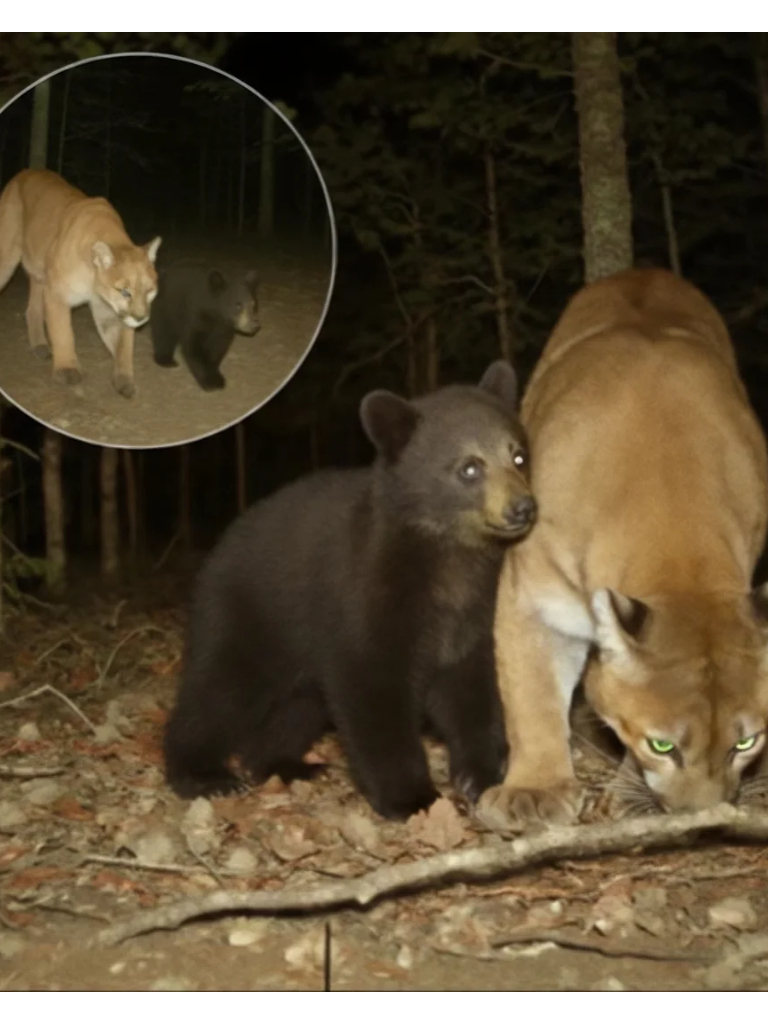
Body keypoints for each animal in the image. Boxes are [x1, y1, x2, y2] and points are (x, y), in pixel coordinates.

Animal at [0, 169, 161, 398]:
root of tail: (25, 171)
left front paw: (124, 379)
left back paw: (39, 345)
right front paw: (67, 369)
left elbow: (123, 344)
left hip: (41, 268)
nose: (141, 318)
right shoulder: (56, 293)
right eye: (124, 292)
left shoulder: (106, 308)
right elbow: (63, 332)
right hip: (7, 257)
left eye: (150, 291)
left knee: (33, 307)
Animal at [150, 258, 260, 391]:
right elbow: (192, 345)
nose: (254, 326)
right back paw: (166, 360)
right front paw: (209, 381)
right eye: (238, 304)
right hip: (166, 307)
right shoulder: (195, 315)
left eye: (253, 304)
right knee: (163, 332)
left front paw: (217, 377)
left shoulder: (223, 328)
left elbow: (218, 347)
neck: (215, 315)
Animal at [163, 361, 537, 820]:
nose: (522, 507)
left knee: (297, 707)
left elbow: (471, 687)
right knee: (220, 689)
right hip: (247, 612)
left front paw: (481, 776)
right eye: (469, 467)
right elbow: (373, 688)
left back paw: (282, 763)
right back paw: (203, 774)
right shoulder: (364, 593)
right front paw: (411, 796)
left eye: (518, 455)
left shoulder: (472, 612)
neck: (446, 556)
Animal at [478, 268, 768, 830]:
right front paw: (534, 789)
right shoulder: (534, 595)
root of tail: (644, 271)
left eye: (745, 743)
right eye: (662, 745)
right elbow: (532, 695)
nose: (702, 817)